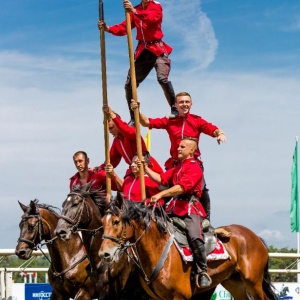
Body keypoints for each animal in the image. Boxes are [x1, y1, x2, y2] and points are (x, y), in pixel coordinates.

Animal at [99, 195, 278, 300]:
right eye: (102, 222)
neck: (158, 249)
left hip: (253, 282)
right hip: (235, 282)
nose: (104, 254)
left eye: (116, 222)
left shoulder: (180, 296)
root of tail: (255, 237)